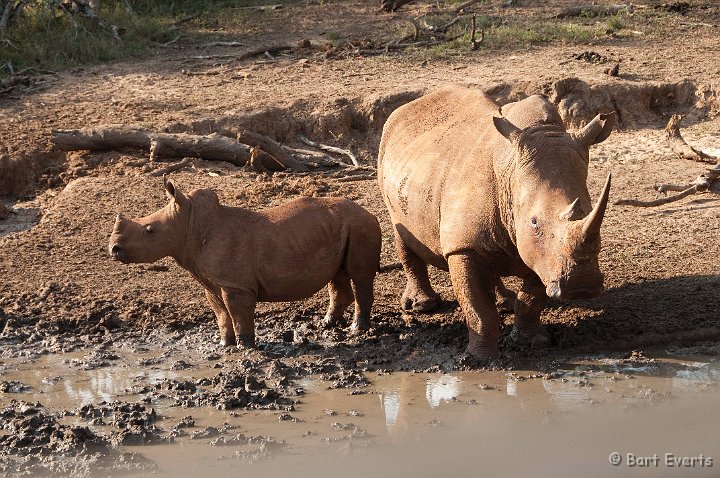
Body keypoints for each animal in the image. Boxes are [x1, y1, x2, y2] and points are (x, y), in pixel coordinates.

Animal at [108, 179, 382, 348]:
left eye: (149, 230)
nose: (114, 249)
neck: (190, 225)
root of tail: (368, 211)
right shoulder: (212, 282)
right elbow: (220, 313)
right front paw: (224, 344)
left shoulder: (235, 284)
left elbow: (238, 313)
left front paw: (246, 346)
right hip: (343, 226)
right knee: (338, 276)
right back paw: (327, 324)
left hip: (361, 226)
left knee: (360, 276)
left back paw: (356, 330)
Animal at [376, 86, 612, 358]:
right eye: (534, 222)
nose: (581, 287)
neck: (509, 176)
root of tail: (408, 107)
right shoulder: (463, 247)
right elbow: (479, 309)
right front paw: (479, 358)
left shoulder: (543, 255)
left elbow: (531, 299)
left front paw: (531, 342)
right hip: (388, 163)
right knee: (401, 231)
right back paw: (422, 306)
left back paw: (505, 302)